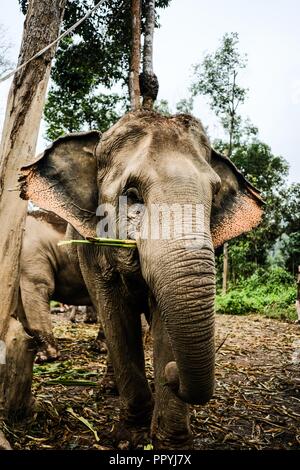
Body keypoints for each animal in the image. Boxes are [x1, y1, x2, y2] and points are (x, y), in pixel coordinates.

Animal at [18, 110, 262, 448]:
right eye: (132, 195)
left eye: (213, 196)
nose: (174, 375)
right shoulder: (79, 252)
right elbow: (116, 316)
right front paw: (130, 438)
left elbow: (164, 321)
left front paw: (171, 442)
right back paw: (109, 386)